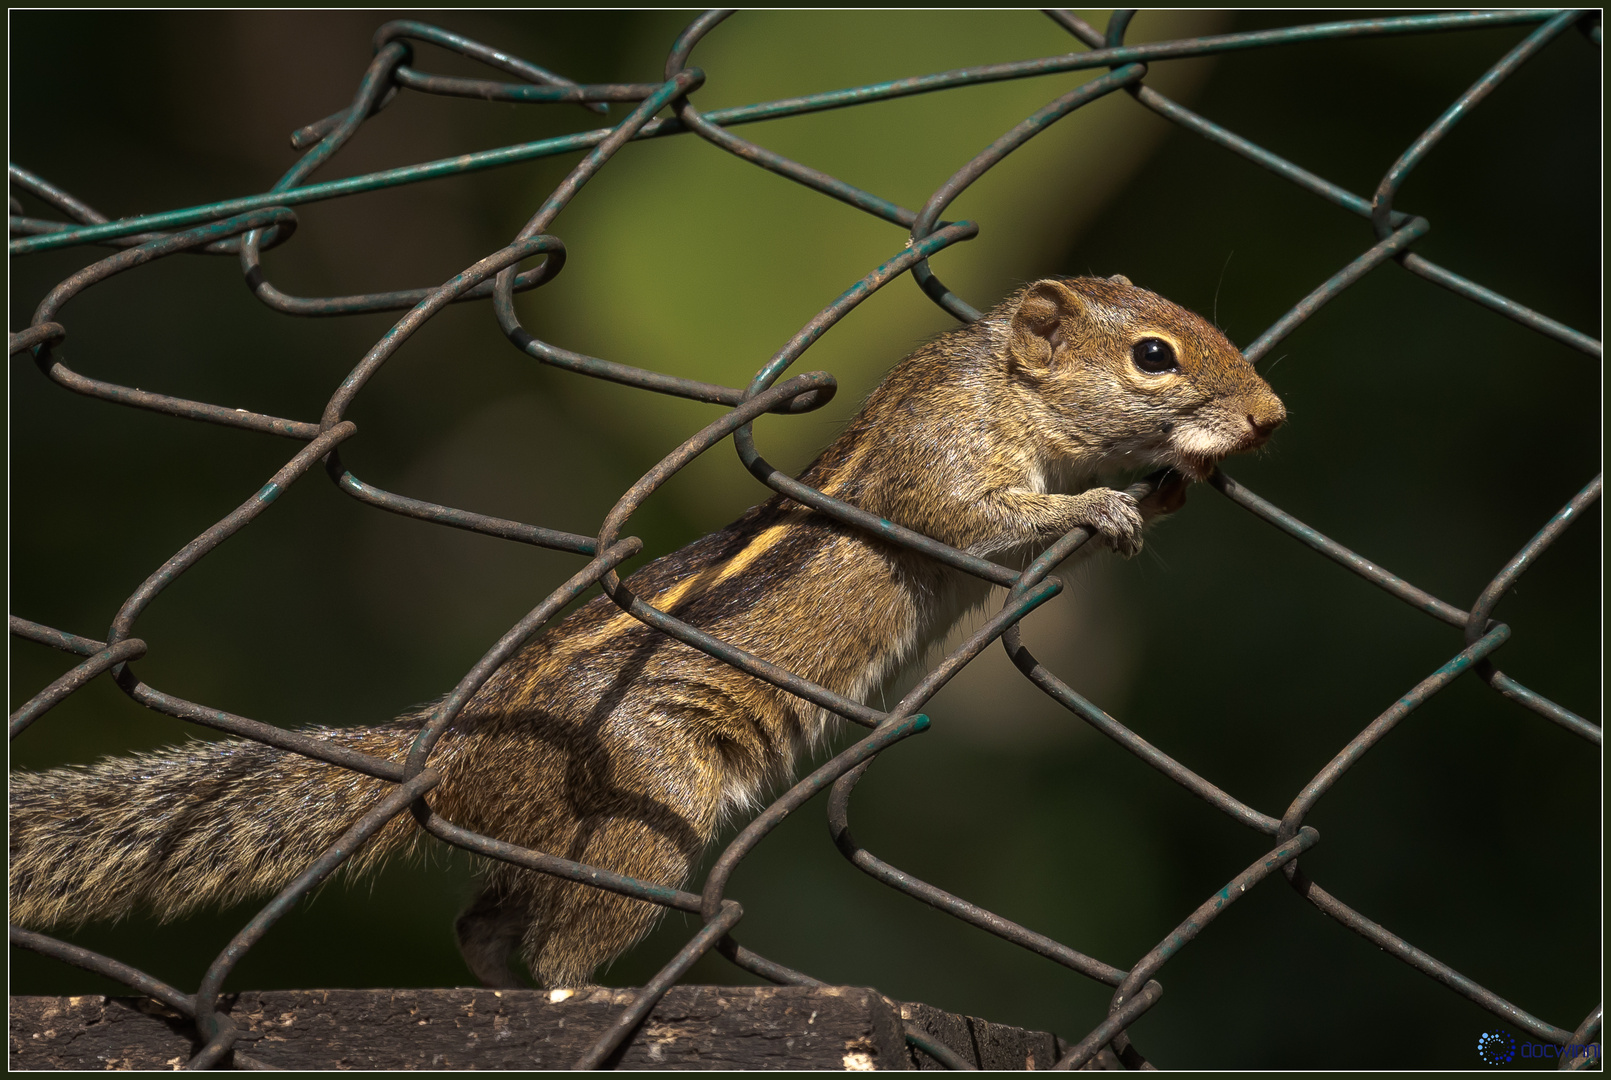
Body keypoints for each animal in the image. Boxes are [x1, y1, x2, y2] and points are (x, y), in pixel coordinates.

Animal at [3, 277, 1282, 992]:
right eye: (1154, 355)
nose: (1271, 415)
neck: (997, 382)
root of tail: (450, 746)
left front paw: (1171, 484)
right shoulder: (937, 461)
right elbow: (978, 521)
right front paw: (1098, 507)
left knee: (486, 923)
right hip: (640, 820)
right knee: (562, 945)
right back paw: (589, 1005)